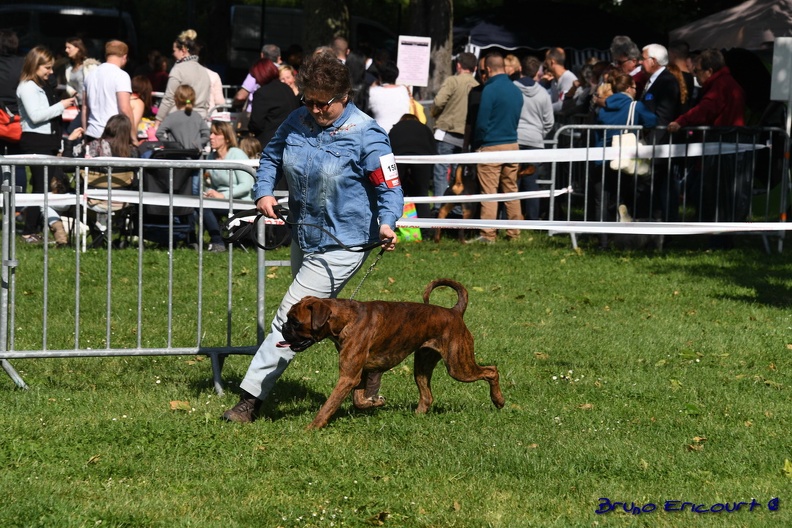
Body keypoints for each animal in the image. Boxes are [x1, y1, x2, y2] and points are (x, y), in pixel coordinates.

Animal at [284, 278, 504, 426]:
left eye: (295, 322)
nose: (283, 327)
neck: (346, 318)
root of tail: (454, 311)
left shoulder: (348, 377)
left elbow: (328, 407)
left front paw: (311, 429)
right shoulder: (360, 373)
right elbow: (358, 400)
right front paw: (374, 402)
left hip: (458, 367)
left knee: (492, 370)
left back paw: (498, 400)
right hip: (422, 366)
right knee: (427, 396)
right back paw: (417, 417)